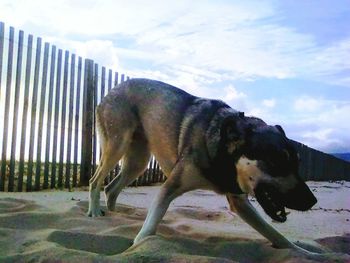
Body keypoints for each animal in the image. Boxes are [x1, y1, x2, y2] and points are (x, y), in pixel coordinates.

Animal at [87, 80, 318, 254]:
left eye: (297, 162)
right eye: (275, 161)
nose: (312, 201)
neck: (221, 146)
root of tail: (109, 92)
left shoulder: (239, 200)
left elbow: (275, 234)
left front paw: (306, 253)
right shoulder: (169, 187)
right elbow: (148, 229)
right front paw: (139, 244)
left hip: (138, 162)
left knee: (111, 188)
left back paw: (117, 216)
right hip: (117, 145)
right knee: (95, 180)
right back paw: (95, 212)